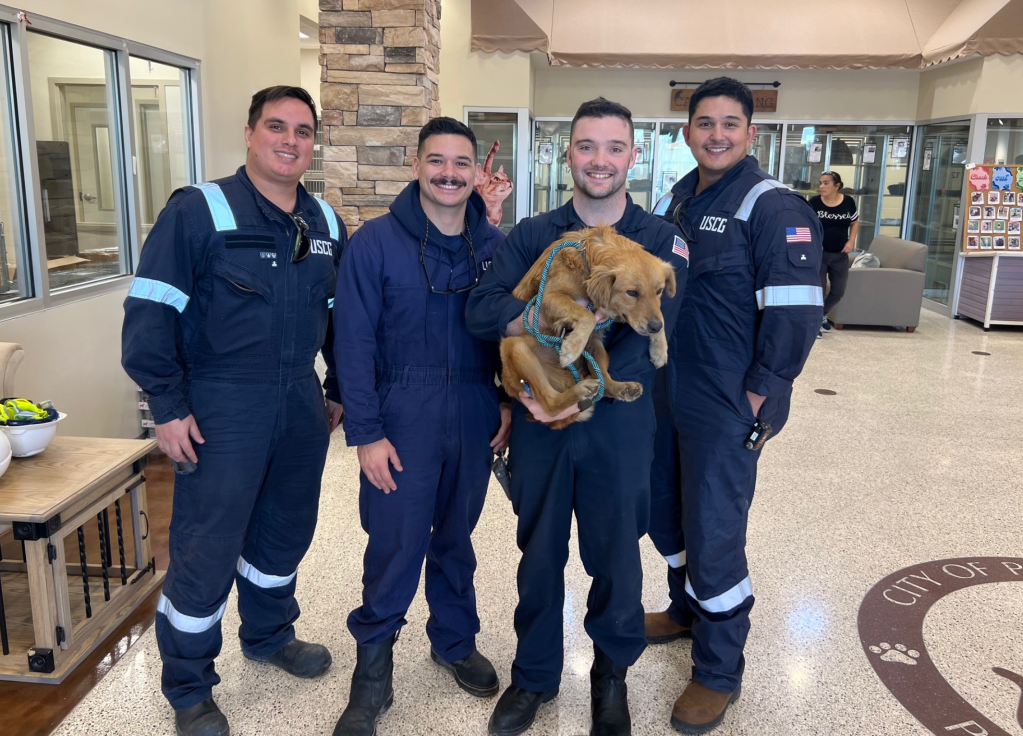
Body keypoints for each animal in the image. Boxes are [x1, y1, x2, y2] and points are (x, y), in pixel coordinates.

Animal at [499, 227, 675, 429]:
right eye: (632, 292)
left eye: (659, 291)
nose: (654, 328)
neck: (587, 260)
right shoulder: (547, 297)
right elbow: (588, 315)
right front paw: (571, 348)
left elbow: (661, 315)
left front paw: (659, 350)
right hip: (515, 346)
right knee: (550, 404)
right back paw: (580, 390)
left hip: (595, 346)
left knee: (604, 383)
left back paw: (622, 388)